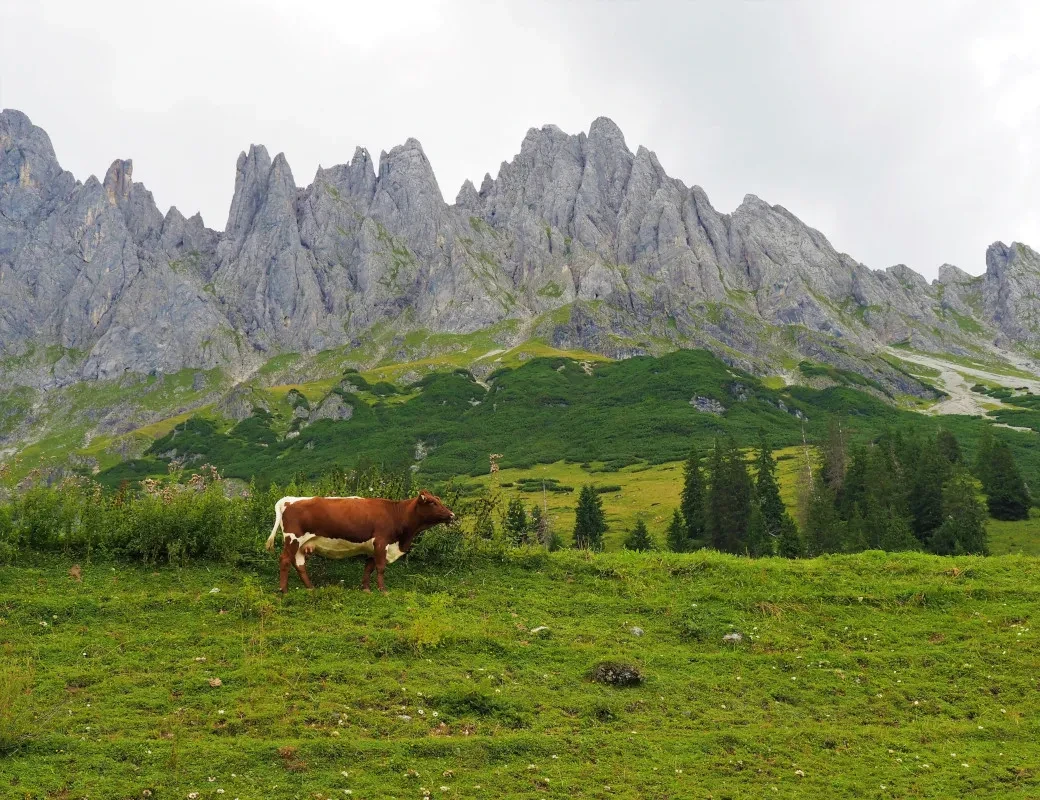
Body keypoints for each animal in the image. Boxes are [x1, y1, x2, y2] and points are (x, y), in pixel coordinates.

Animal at [264, 486, 455, 590]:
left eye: (439, 500)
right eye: (432, 502)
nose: (452, 515)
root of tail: (288, 499)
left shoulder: (372, 547)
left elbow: (368, 568)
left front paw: (366, 588)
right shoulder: (381, 541)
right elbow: (380, 568)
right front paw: (383, 590)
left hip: (303, 544)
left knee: (300, 564)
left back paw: (311, 588)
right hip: (293, 539)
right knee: (285, 560)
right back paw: (283, 590)